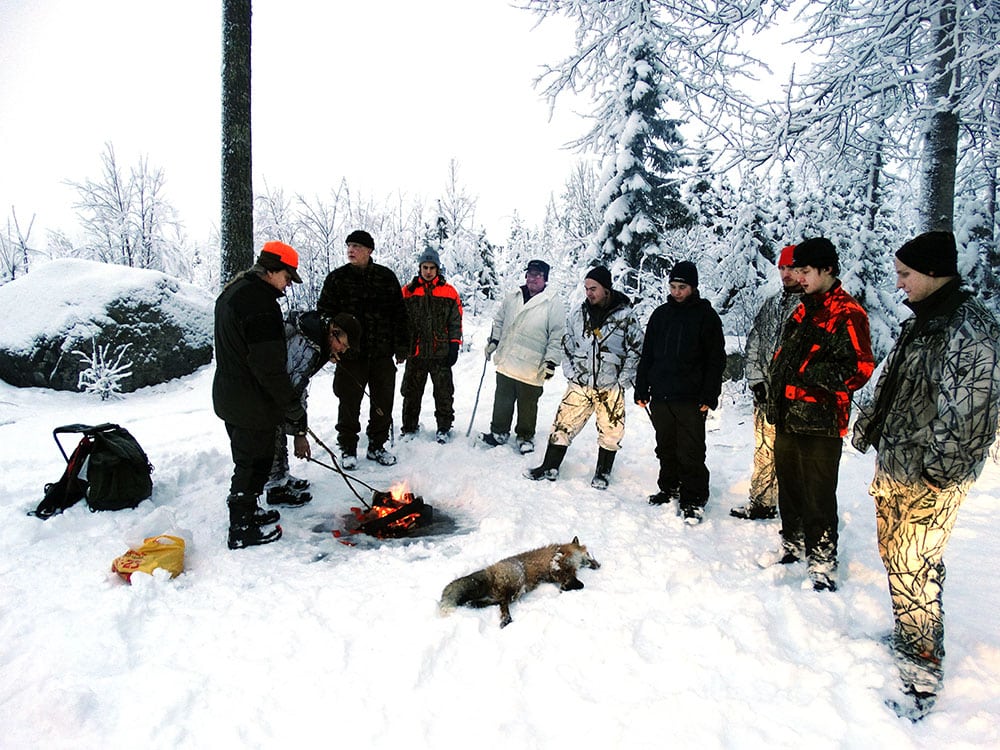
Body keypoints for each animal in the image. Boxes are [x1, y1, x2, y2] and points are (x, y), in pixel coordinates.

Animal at [440, 536, 600, 632]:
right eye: (589, 554)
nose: (599, 565)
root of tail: (490, 569)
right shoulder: (557, 565)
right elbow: (578, 583)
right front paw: (566, 588)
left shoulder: (560, 574)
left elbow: (575, 582)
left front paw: (566, 588)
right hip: (516, 586)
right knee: (502, 603)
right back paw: (505, 620)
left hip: (515, 592)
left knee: (496, 601)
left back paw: (474, 604)